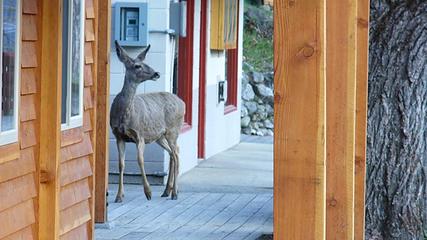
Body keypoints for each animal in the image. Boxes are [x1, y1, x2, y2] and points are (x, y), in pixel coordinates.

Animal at [111, 41, 185, 202]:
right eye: (137, 65)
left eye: (146, 63)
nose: (156, 73)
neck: (124, 116)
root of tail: (183, 102)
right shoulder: (118, 136)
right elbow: (121, 164)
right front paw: (119, 196)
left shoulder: (140, 135)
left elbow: (140, 159)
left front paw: (148, 192)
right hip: (160, 136)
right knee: (172, 153)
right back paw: (167, 191)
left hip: (173, 130)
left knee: (176, 153)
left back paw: (175, 193)